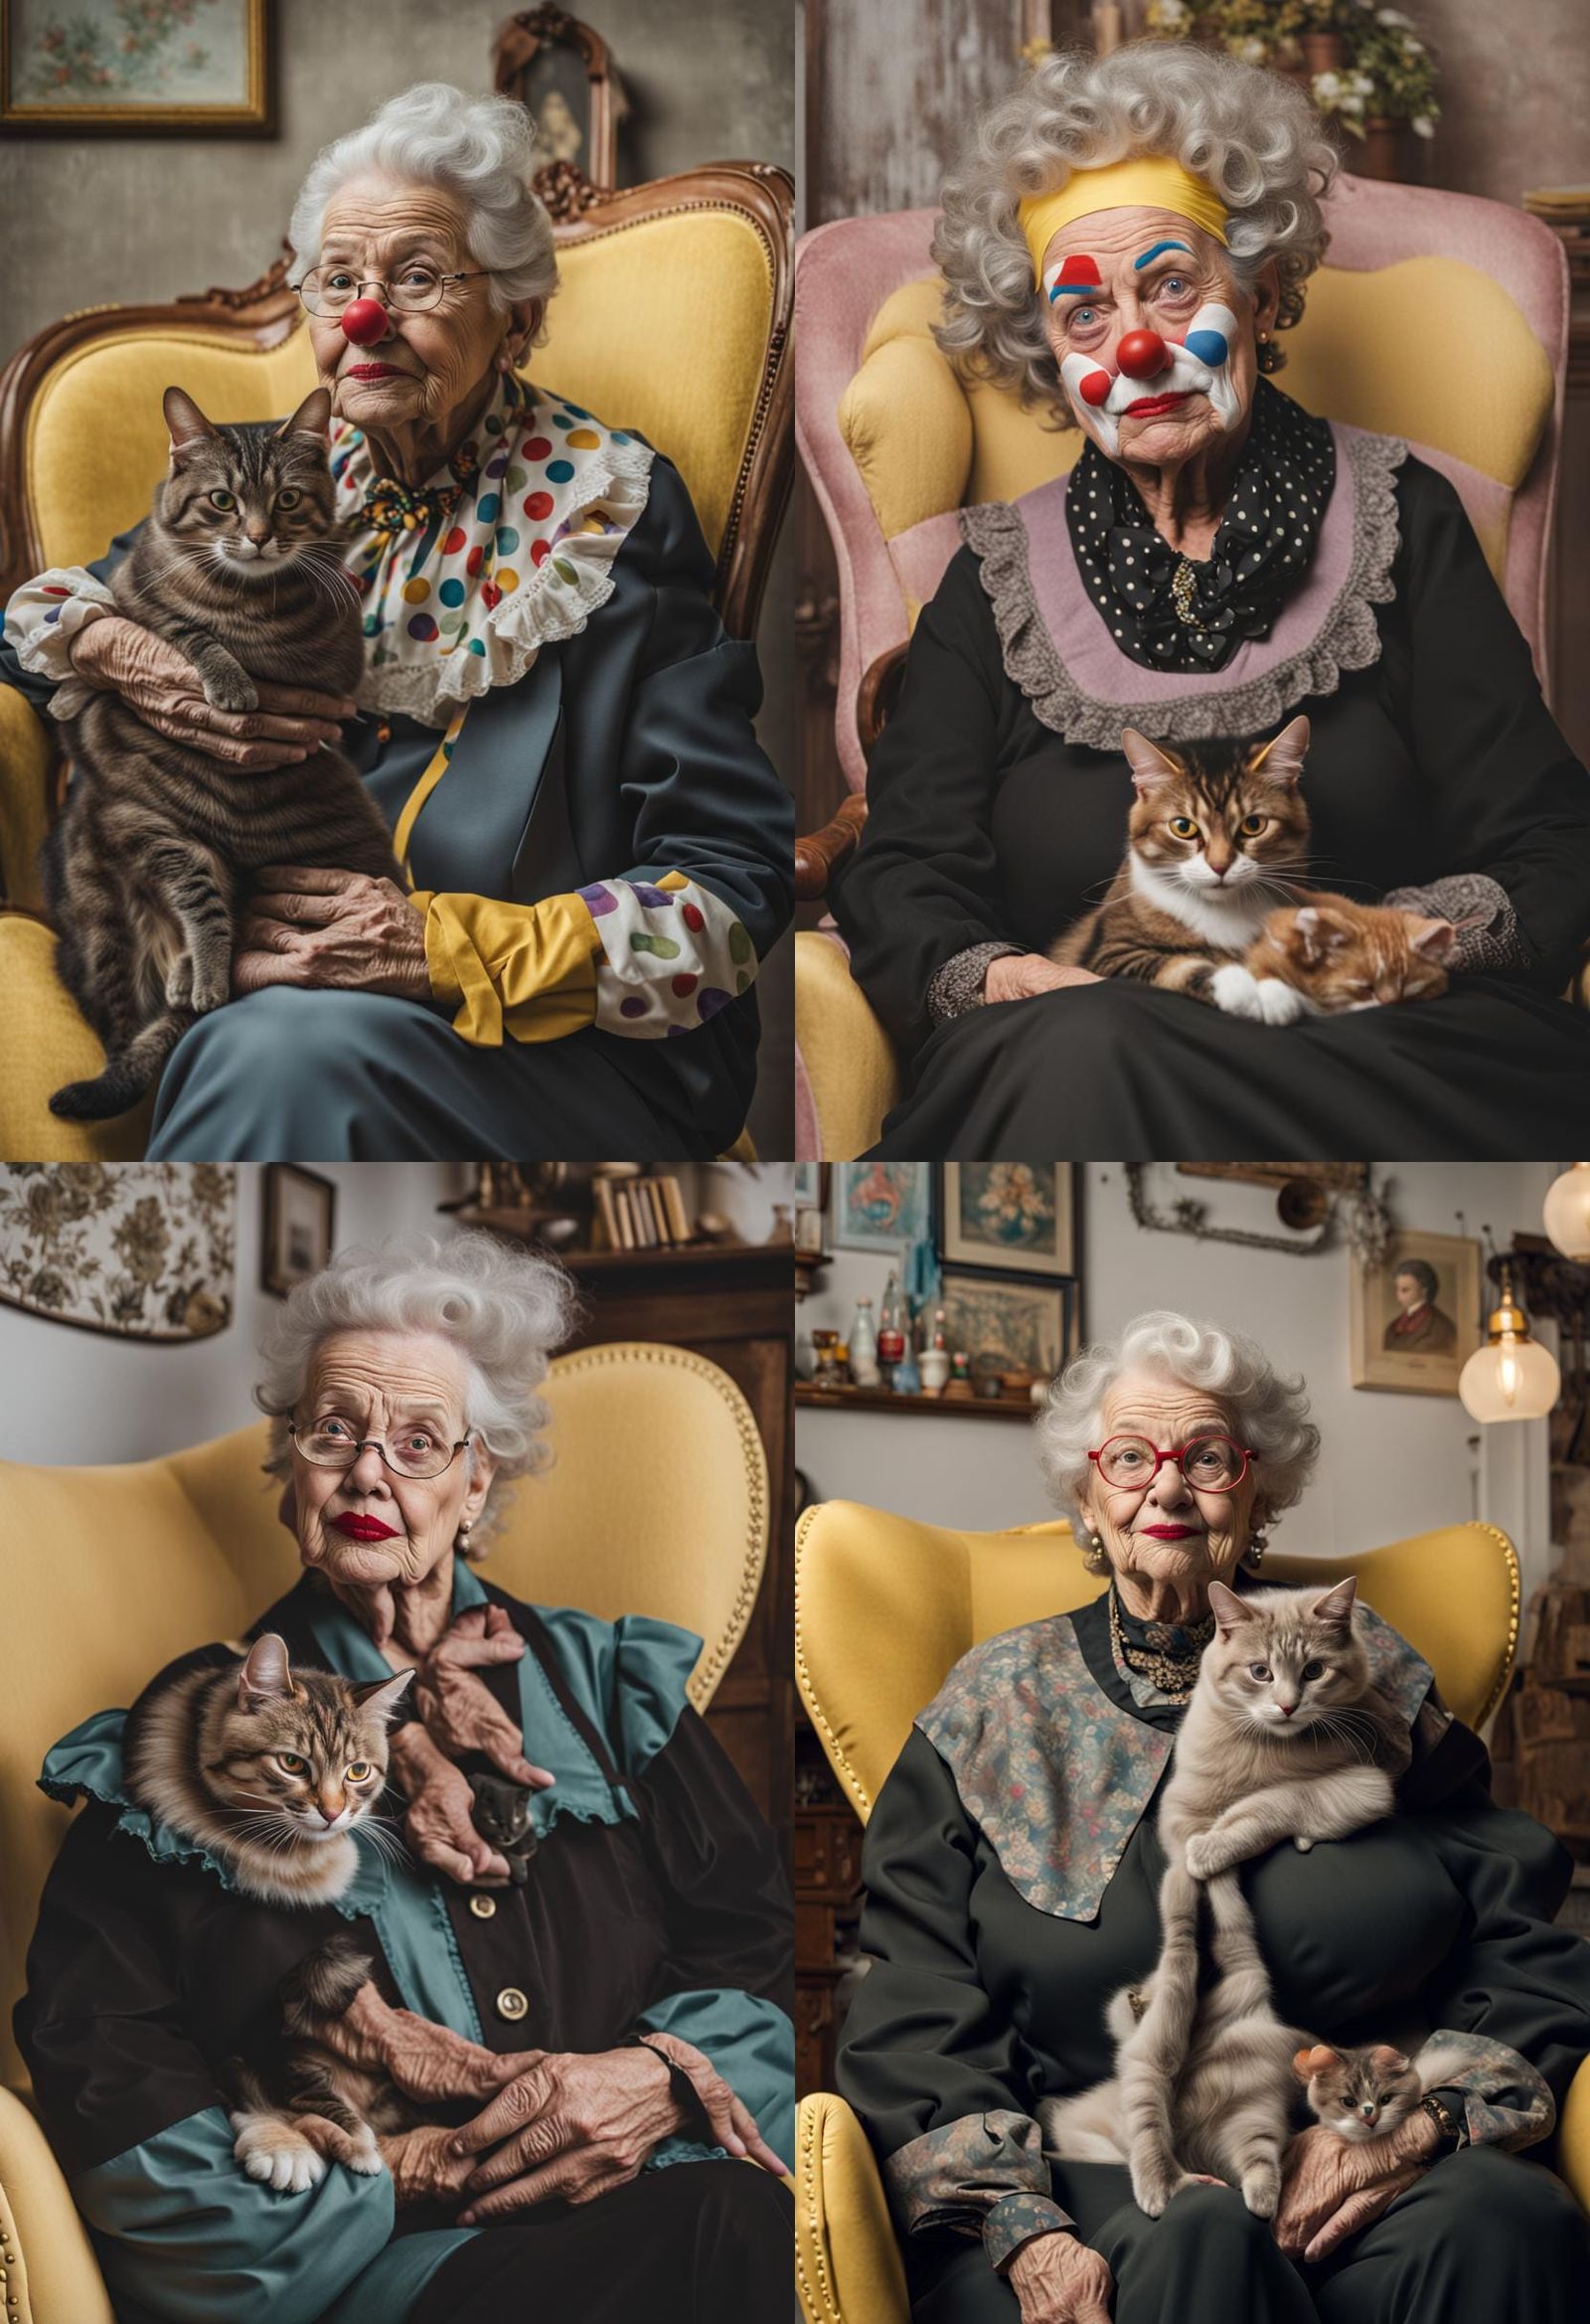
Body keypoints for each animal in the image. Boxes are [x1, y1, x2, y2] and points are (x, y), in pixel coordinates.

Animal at [46, 383, 404, 1124]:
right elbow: (173, 626)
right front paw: (225, 679)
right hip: (140, 841)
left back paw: (196, 978)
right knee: (189, 927)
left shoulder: (333, 660)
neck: (245, 599)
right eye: (221, 500)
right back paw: (192, 980)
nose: (261, 536)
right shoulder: (133, 600)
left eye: (288, 500)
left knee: (220, 914)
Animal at [1050, 716, 1460, 1027]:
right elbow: (1179, 963)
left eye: (1253, 825)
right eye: (1183, 827)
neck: (1226, 909)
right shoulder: (1109, 953)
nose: (1219, 865)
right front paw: (1249, 991)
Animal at [1050, 1579, 1413, 2212]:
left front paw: (1224, 1844)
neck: (1265, 1751)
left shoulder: (1364, 1785)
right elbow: (1195, 1864)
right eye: (1260, 1672)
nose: (1288, 1705)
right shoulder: (1178, 1811)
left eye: (1314, 1670)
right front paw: (1206, 1861)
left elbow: (1275, 1804)